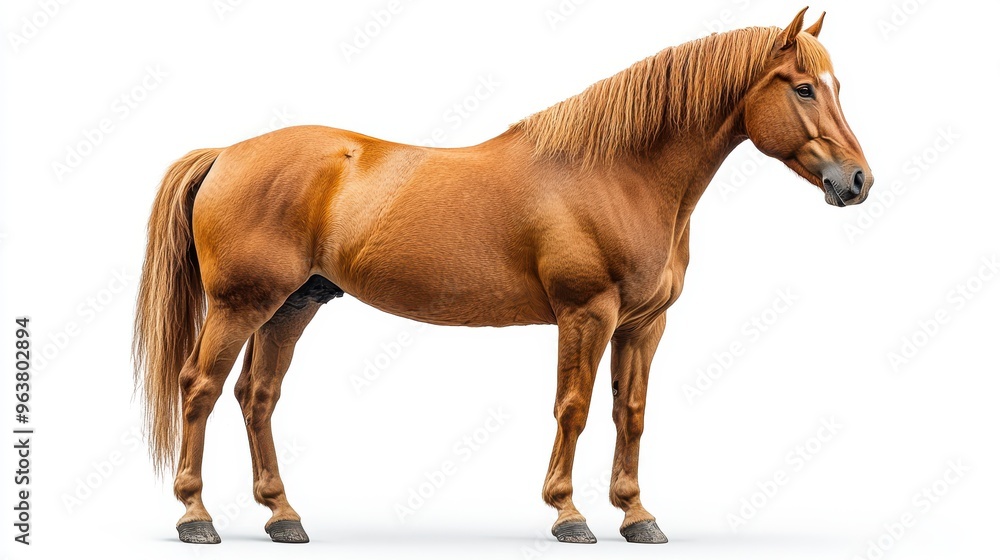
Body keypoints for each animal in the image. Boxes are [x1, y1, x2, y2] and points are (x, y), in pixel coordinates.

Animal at [133, 7, 872, 545]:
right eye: (804, 87)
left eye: (836, 87)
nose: (857, 181)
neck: (619, 174)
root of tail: (226, 153)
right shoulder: (586, 313)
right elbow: (573, 408)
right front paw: (569, 514)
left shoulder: (643, 325)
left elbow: (629, 413)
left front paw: (638, 517)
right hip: (241, 304)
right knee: (199, 388)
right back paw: (195, 517)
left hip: (293, 305)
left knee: (257, 397)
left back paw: (283, 516)